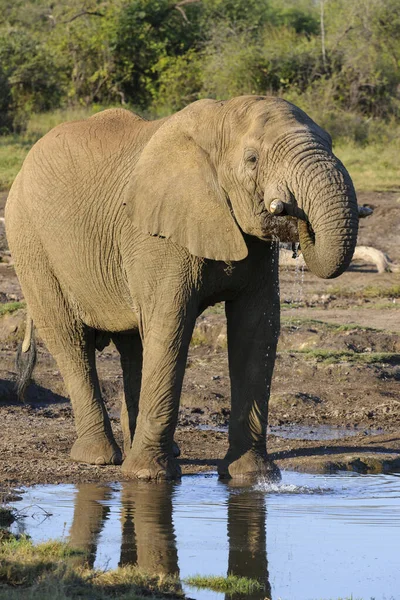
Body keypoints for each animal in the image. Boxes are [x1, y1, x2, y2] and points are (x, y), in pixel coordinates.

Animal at [3, 96, 360, 480]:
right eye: (252, 159)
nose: (293, 213)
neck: (217, 121)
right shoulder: (156, 236)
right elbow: (171, 326)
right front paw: (148, 477)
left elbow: (256, 328)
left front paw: (254, 476)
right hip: (30, 243)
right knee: (71, 340)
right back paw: (100, 458)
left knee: (134, 345)